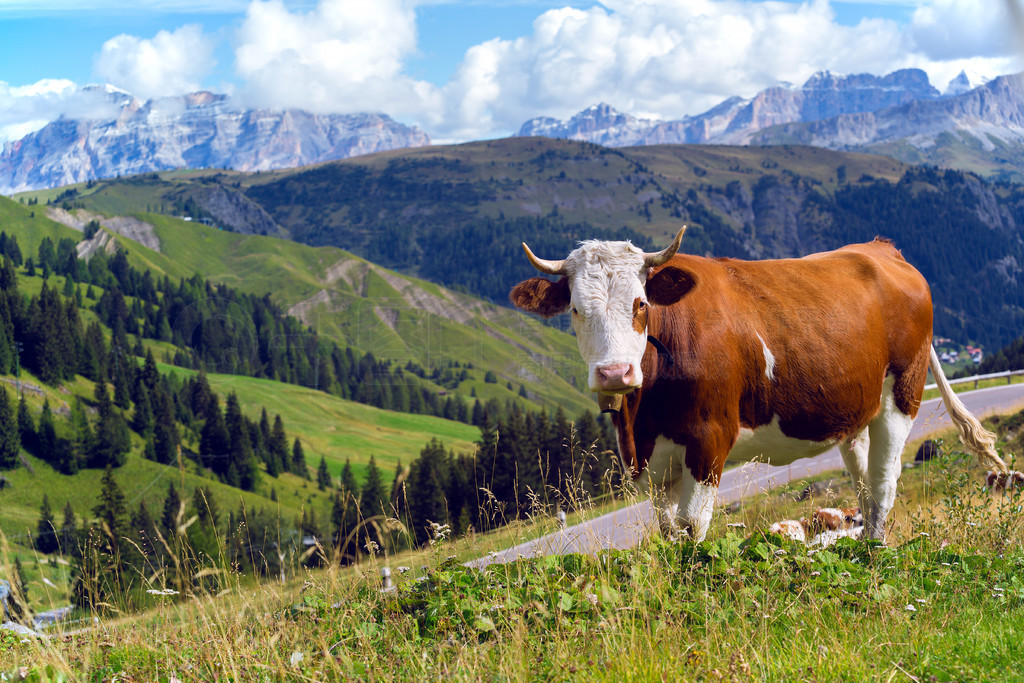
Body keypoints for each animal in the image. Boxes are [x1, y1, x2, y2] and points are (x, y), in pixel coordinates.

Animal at [507, 227, 1003, 540]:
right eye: (575, 309)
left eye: (641, 303)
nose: (614, 374)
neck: (642, 416)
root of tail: (882, 249)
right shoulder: (649, 461)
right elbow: (667, 532)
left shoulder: (708, 439)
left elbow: (691, 527)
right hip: (856, 412)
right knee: (863, 485)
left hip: (903, 393)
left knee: (882, 486)